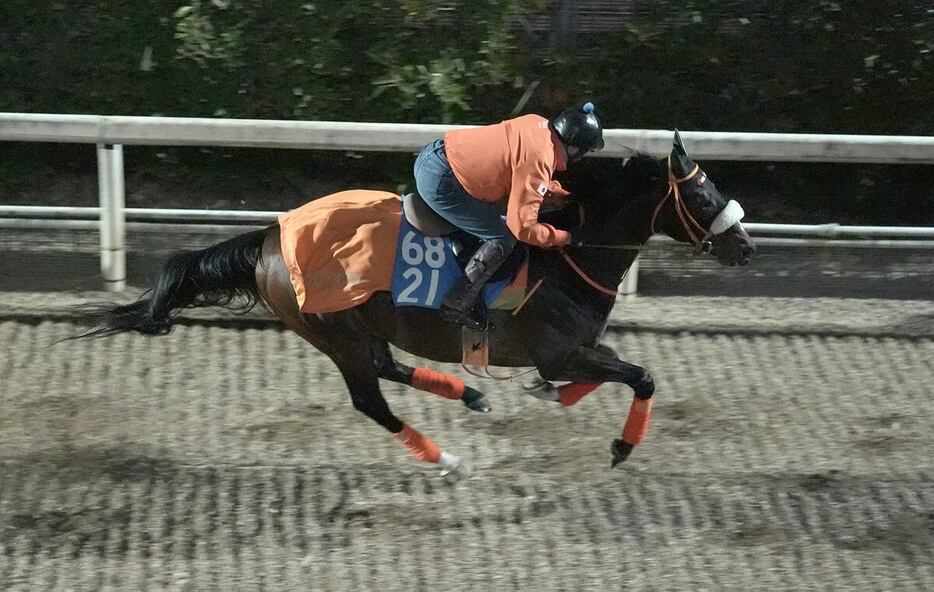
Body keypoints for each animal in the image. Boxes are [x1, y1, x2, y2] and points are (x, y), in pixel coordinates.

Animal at [75, 131, 760, 480]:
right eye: (703, 196)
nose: (746, 246)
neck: (570, 254)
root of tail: (271, 235)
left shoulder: (574, 349)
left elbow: (613, 370)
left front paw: (549, 397)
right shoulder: (559, 348)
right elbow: (640, 376)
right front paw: (619, 447)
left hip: (360, 326)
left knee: (388, 366)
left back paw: (471, 396)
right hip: (331, 331)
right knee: (370, 400)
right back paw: (446, 457)